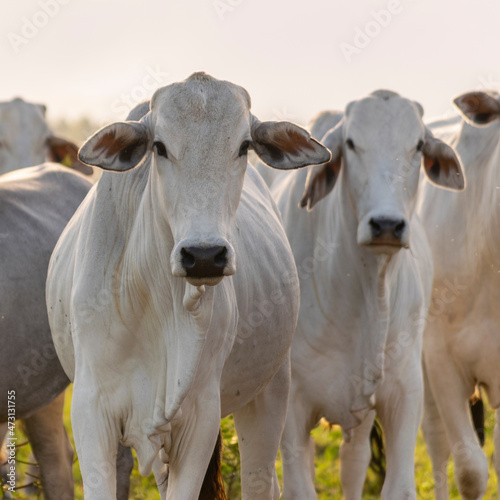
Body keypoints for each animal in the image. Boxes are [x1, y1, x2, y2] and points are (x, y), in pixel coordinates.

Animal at [46, 73, 328, 500]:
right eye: (159, 147)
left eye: (244, 146)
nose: (205, 255)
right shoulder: (91, 411)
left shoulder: (200, 419)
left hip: (271, 392)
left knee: (260, 477)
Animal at [266, 91, 464, 500]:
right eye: (352, 144)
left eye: (418, 145)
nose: (386, 224)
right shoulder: (291, 407)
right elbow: (299, 486)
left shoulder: (404, 395)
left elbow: (396, 485)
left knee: (353, 464)